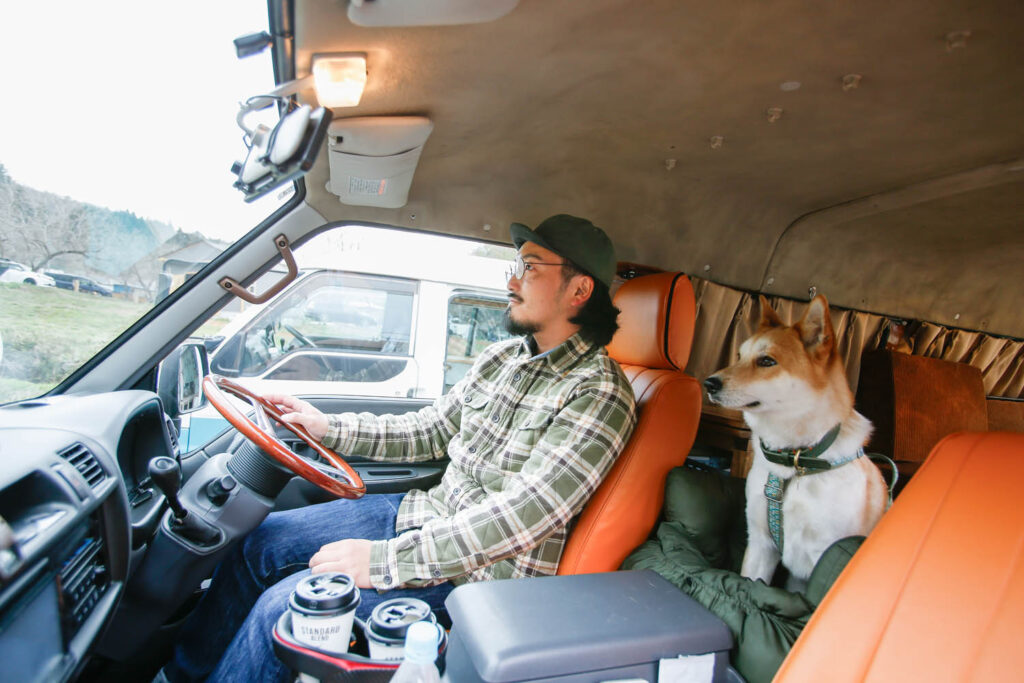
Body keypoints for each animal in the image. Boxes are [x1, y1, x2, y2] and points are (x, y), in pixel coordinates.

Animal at [704, 294, 888, 581]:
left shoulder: (823, 558)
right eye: (740, 355)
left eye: (767, 361)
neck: (795, 459)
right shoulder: (760, 544)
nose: (708, 383)